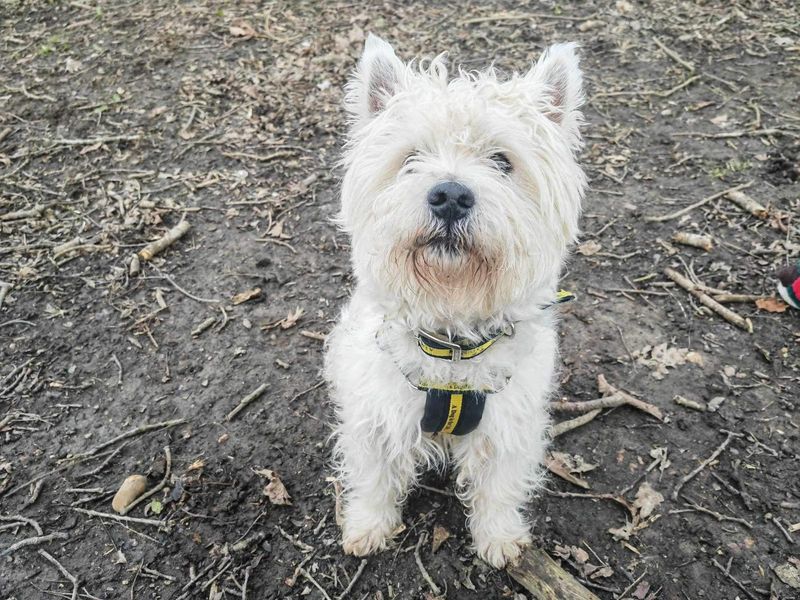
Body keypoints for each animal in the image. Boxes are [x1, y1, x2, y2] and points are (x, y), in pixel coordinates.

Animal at [324, 34, 588, 568]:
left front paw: (500, 539)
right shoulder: (375, 415)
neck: (451, 340)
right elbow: (374, 475)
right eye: (410, 157)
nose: (449, 194)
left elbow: (500, 485)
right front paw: (368, 526)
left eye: (504, 161)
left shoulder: (510, 425)